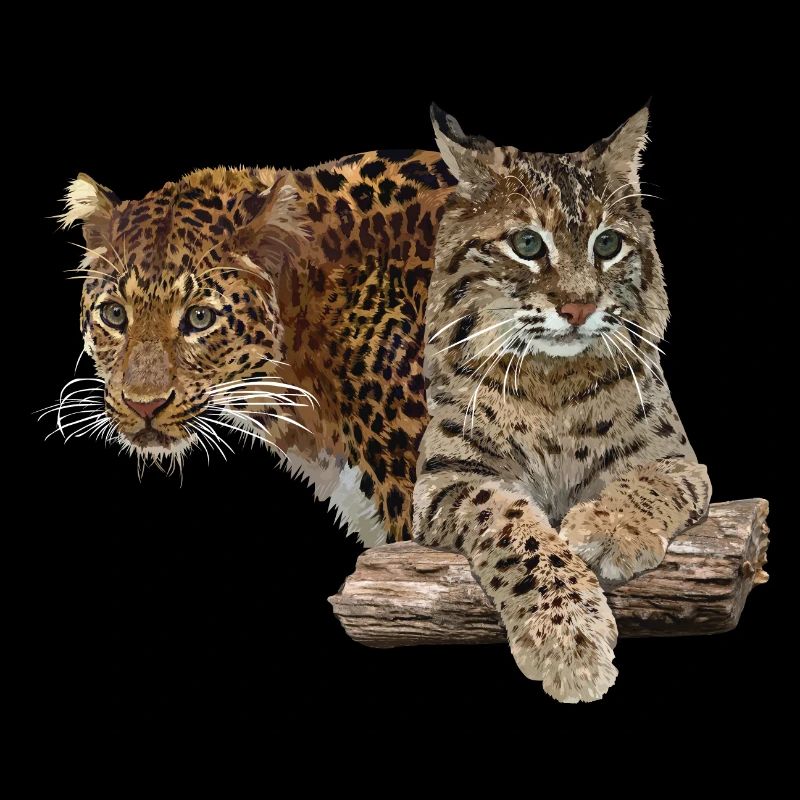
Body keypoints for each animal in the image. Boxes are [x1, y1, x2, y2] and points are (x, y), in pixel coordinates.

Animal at [412, 104, 712, 703]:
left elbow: (648, 480)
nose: (578, 308)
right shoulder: (446, 479)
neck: (553, 377)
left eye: (607, 245)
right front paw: (568, 640)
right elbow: (513, 528)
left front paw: (611, 529)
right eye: (528, 245)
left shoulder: (678, 460)